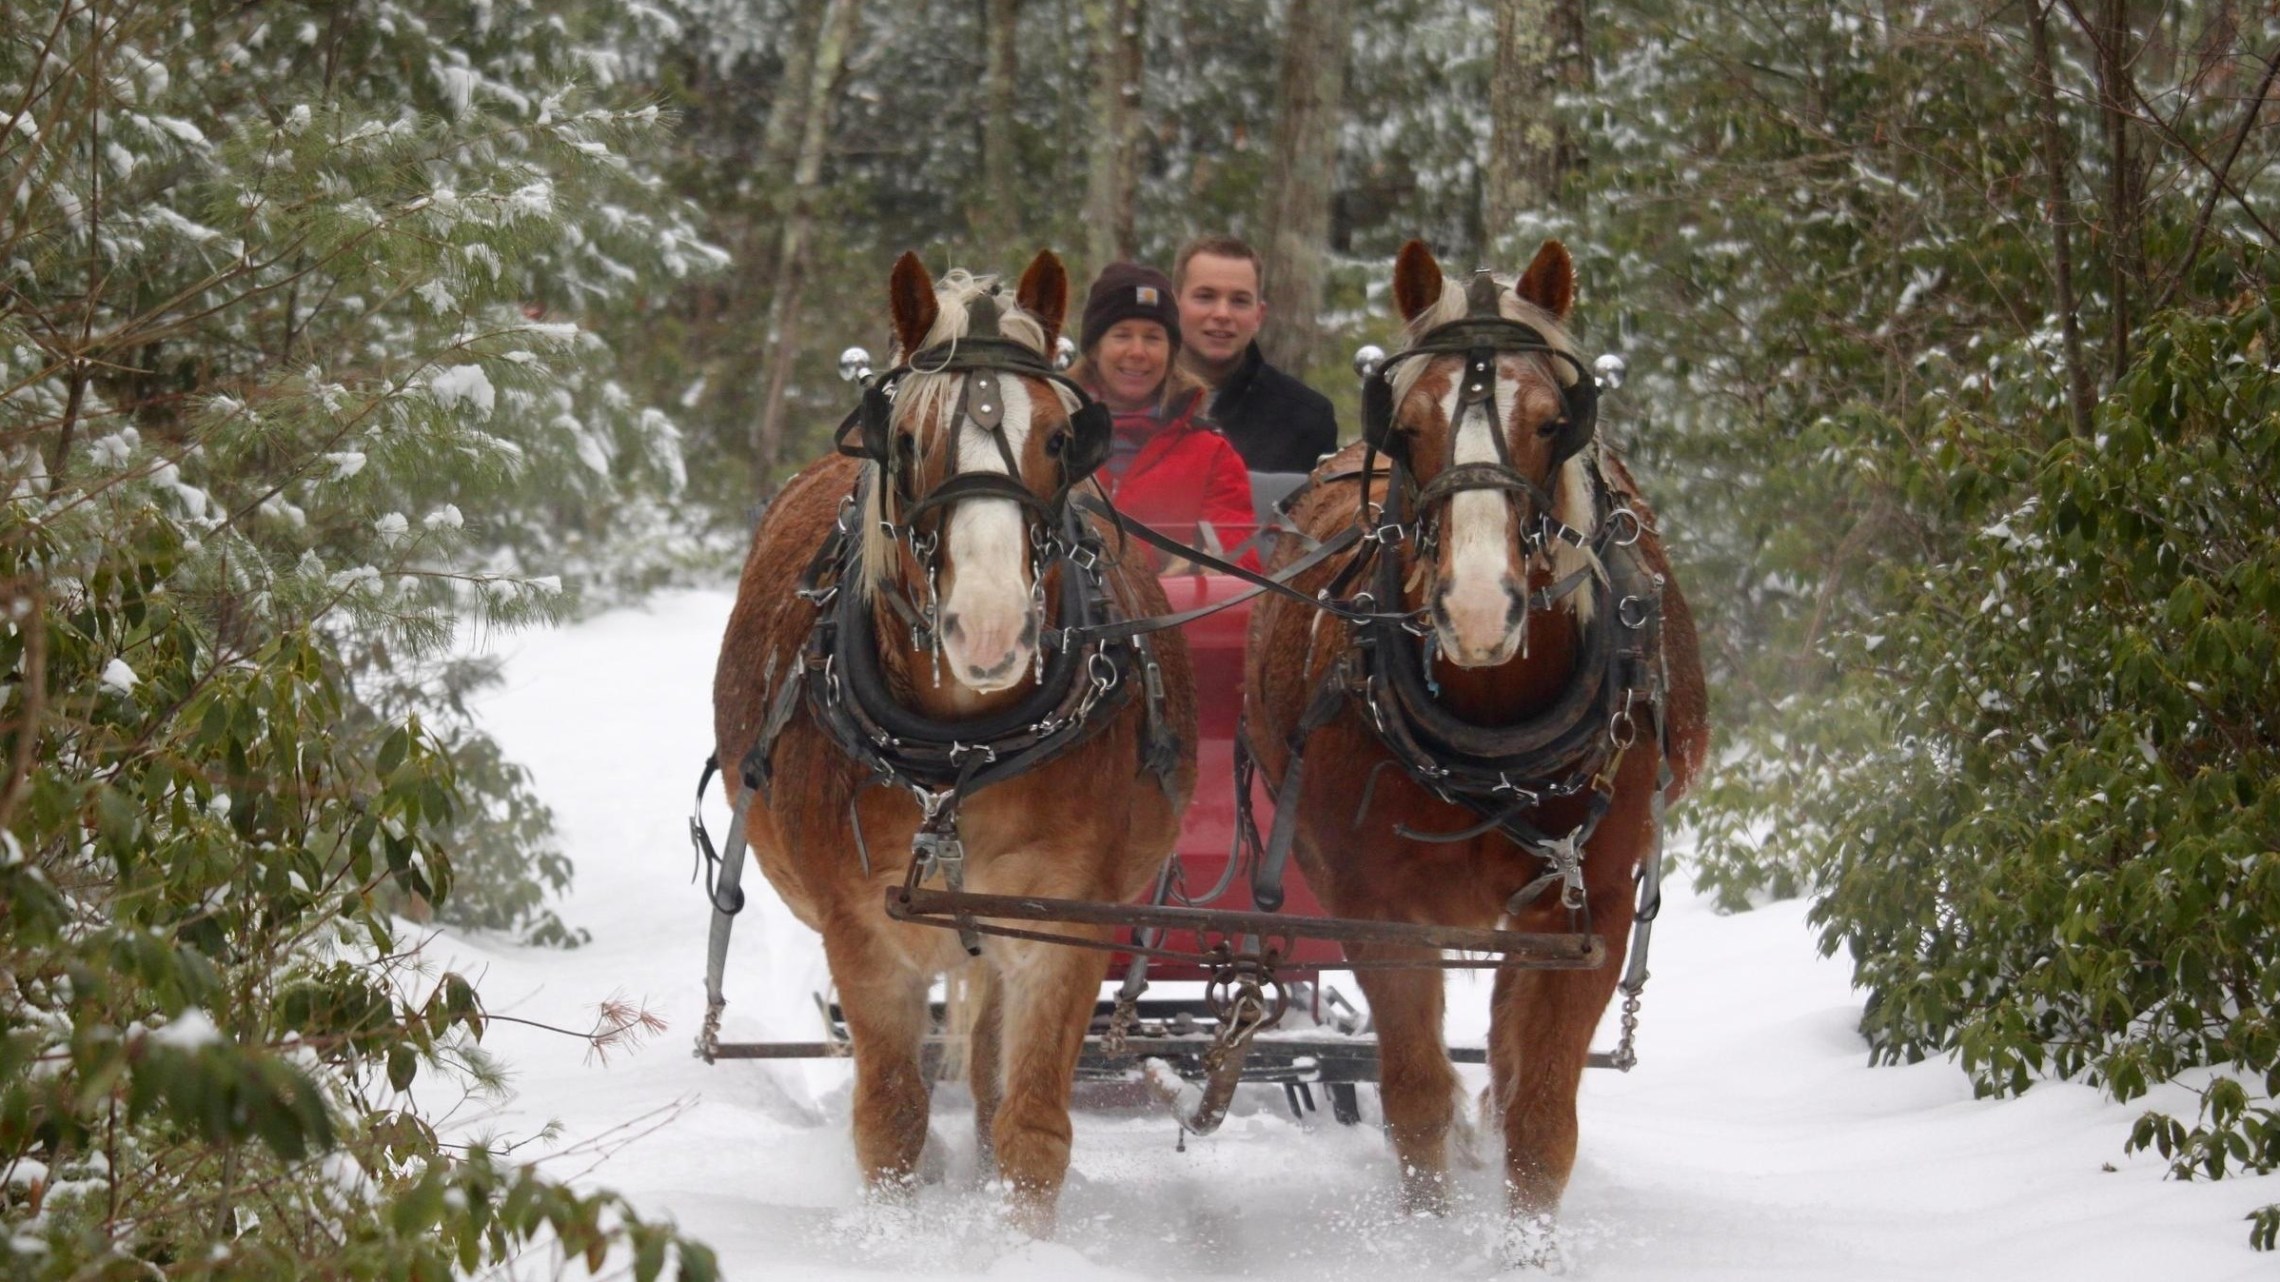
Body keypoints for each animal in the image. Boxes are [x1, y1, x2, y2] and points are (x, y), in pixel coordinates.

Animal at [712, 250, 1196, 1234]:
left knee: (987, 1072)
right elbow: (892, 1115)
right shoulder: (863, 930)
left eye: (1061, 437)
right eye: (903, 440)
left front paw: (1018, 1238)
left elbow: (1032, 1123)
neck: (960, 757)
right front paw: (899, 1233)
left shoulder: (1061, 924)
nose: (990, 626)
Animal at [1243, 238, 1709, 1242]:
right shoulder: (1375, 910)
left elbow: (1540, 1116)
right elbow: (1416, 1097)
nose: (1479, 609)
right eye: (1408, 424)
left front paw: (1524, 1246)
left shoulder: (1588, 910)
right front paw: (1428, 1239)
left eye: (1551, 422)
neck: (1494, 736)